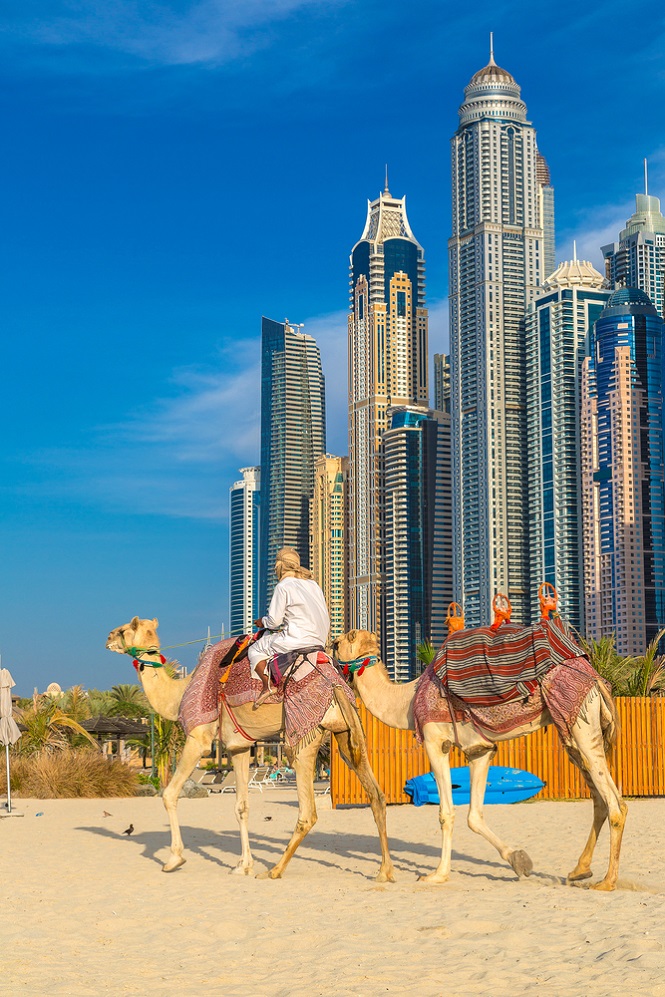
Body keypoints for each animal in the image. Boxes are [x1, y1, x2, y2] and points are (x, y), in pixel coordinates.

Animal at [105, 620, 392, 884]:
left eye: (123, 630)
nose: (108, 638)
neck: (179, 693)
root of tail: (336, 685)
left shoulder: (199, 737)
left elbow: (169, 794)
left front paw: (174, 859)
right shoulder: (239, 747)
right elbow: (241, 806)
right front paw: (242, 865)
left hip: (301, 738)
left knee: (308, 812)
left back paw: (274, 870)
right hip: (348, 734)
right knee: (376, 795)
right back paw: (385, 871)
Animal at [334, 628, 624, 892]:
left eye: (340, 642)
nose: (331, 648)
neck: (407, 700)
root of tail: (595, 677)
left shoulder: (435, 742)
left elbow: (446, 812)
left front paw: (437, 875)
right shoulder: (479, 750)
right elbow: (474, 815)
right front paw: (520, 861)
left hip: (581, 722)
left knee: (615, 804)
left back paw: (608, 882)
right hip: (574, 733)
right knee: (600, 800)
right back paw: (579, 870)